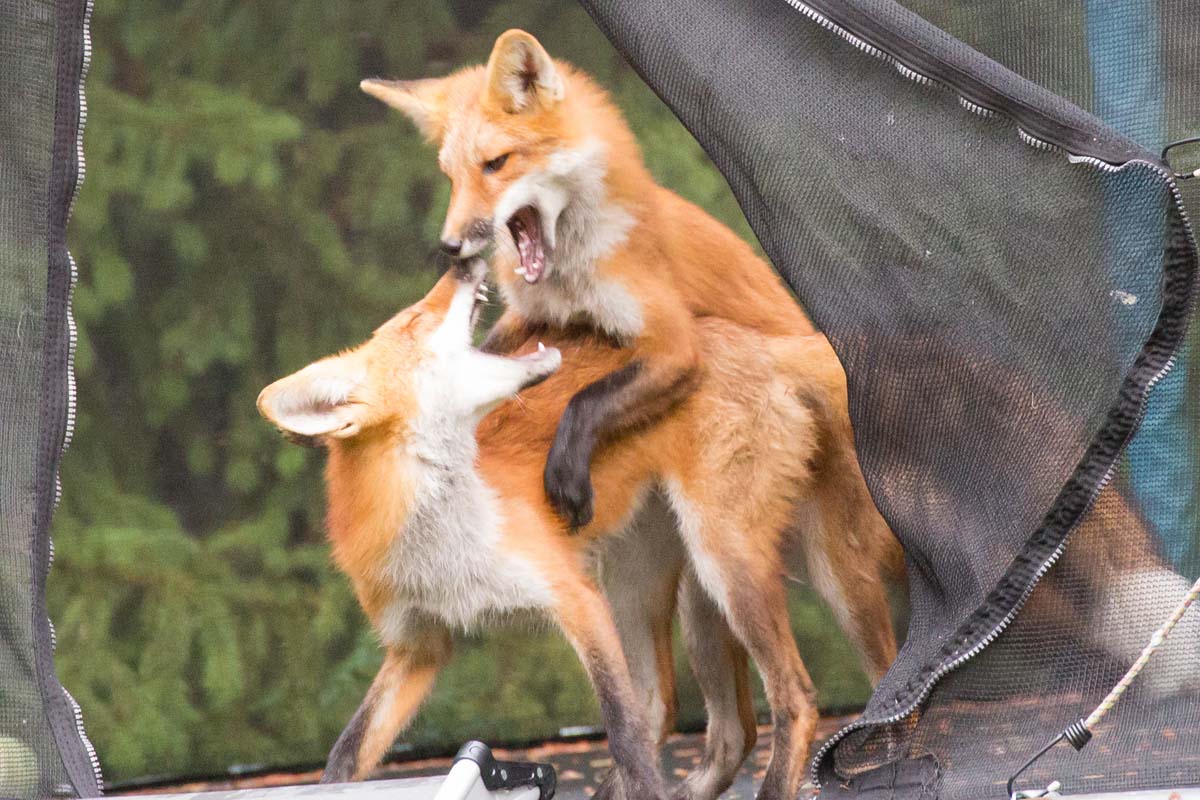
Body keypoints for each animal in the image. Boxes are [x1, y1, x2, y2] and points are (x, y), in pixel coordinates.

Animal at [257, 262, 901, 800]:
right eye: (416, 321)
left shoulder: (574, 598)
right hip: (663, 588)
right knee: (705, 721)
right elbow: (345, 757)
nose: (461, 261)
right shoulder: (417, 645)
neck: (443, 542)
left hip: (746, 565)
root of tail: (755, 341)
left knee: (801, 697)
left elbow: (623, 734)